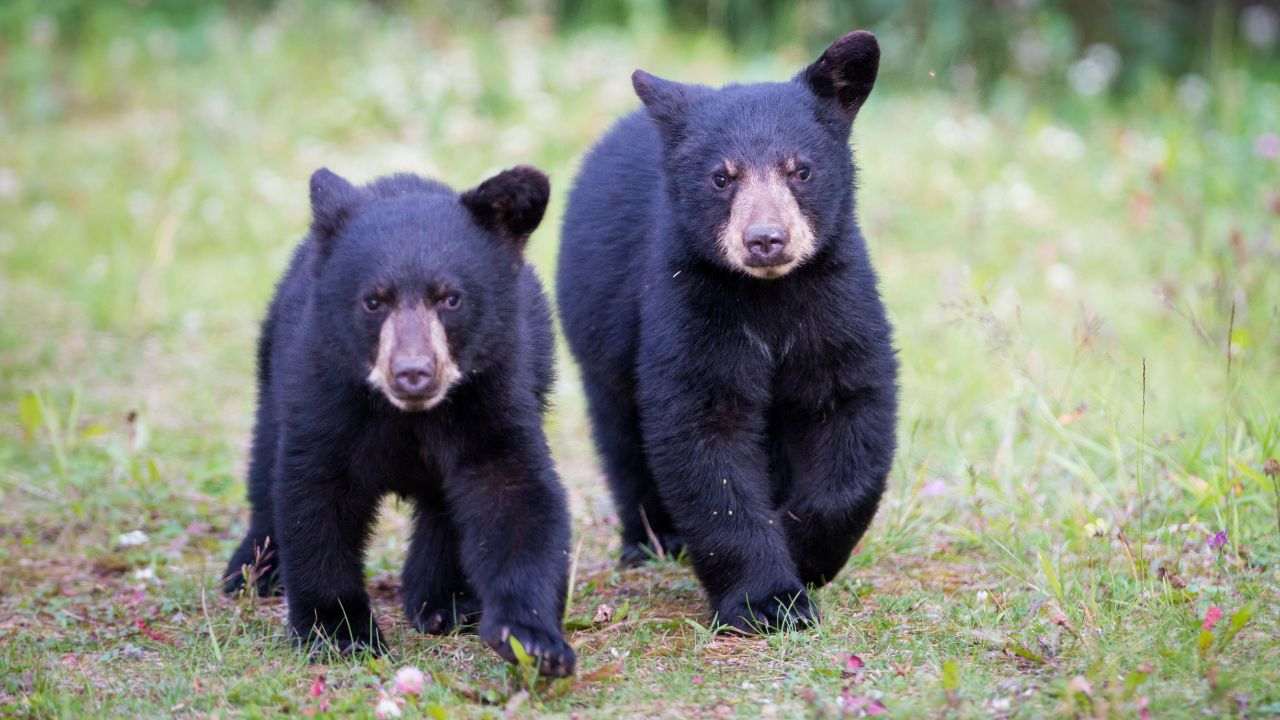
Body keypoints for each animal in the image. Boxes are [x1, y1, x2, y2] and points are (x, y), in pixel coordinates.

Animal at [225, 163, 576, 671]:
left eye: (450, 298)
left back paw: (445, 601)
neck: (407, 416)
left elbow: (514, 494)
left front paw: (532, 639)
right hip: (272, 367)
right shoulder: (323, 388)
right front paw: (339, 632)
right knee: (264, 462)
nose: (413, 372)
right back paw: (251, 571)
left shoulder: (495, 391)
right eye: (374, 300)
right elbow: (315, 495)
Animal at [560, 30, 901, 630]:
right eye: (722, 176)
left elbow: (850, 410)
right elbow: (703, 435)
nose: (765, 239)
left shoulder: (836, 298)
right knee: (621, 434)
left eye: (800, 169)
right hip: (599, 333)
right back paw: (651, 540)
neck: (770, 295)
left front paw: (803, 548)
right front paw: (767, 600)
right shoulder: (690, 303)